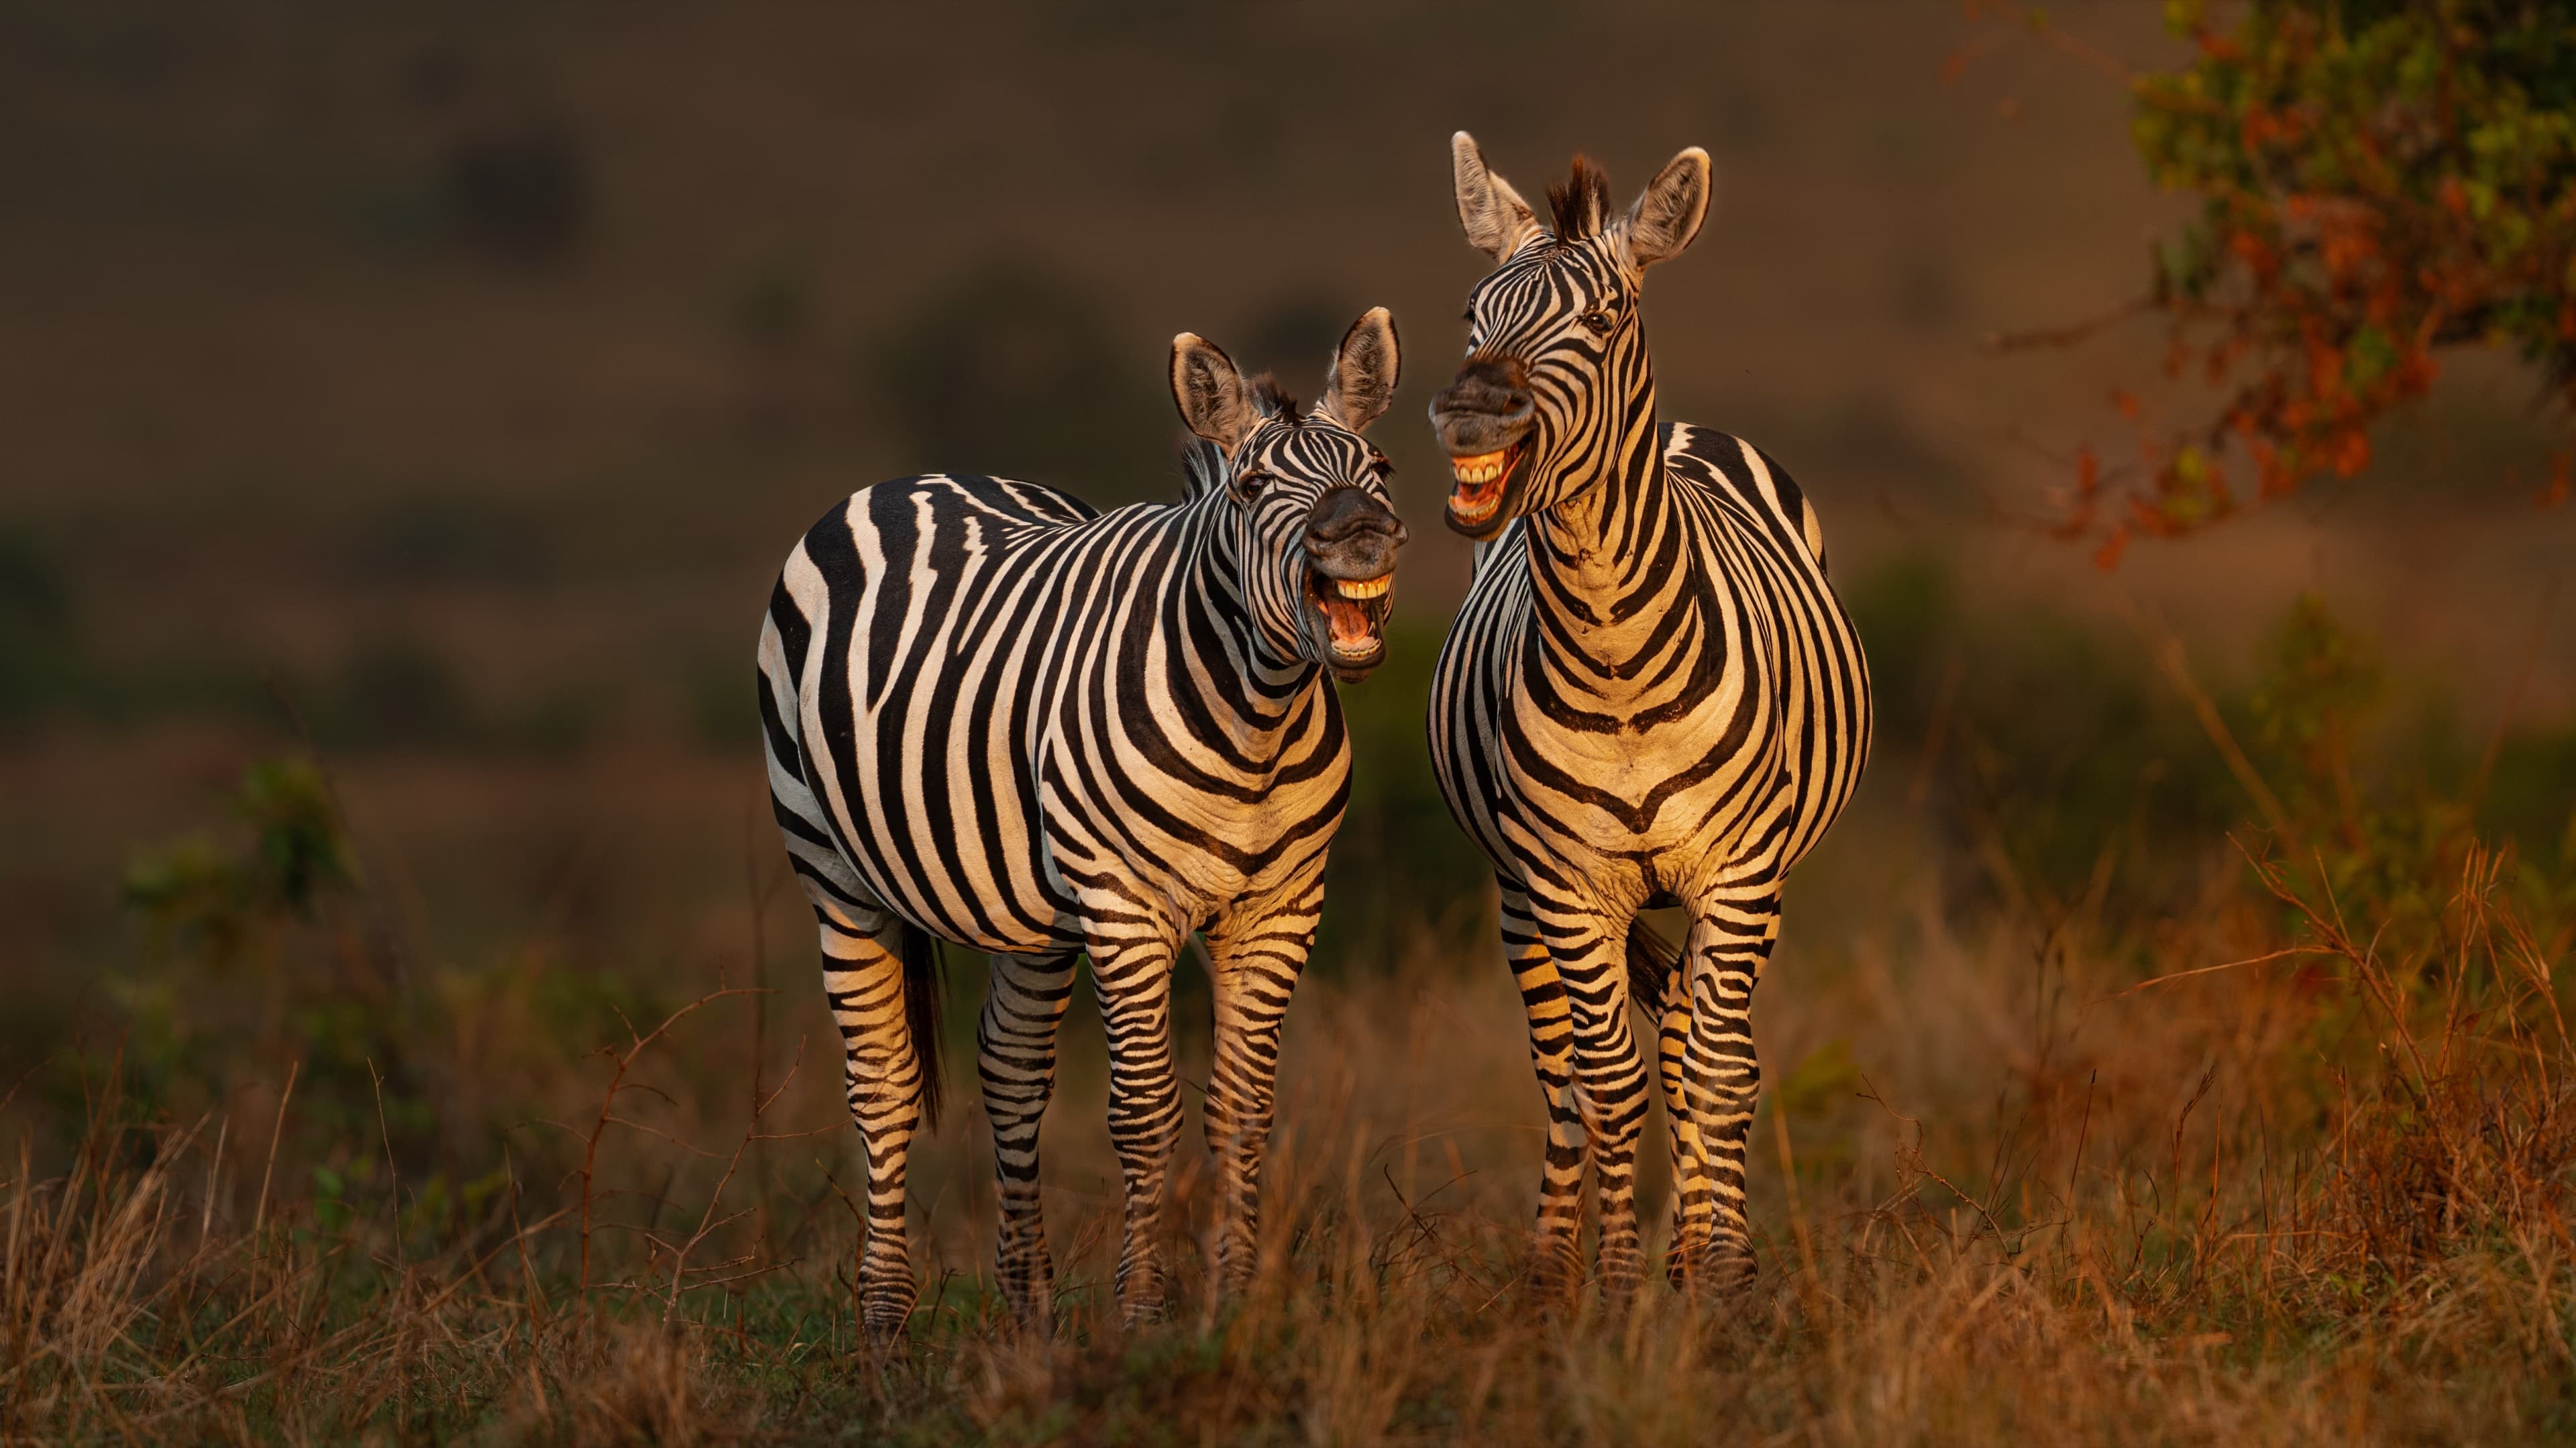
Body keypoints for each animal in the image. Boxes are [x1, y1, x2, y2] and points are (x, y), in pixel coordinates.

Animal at [758, 308, 1407, 1339]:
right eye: (1253, 486)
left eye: (1377, 464)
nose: (1361, 531)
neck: (1256, 718)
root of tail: (915, 479)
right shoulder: (1125, 905)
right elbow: (1144, 1112)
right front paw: (1143, 1312)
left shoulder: (1281, 906)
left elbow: (1242, 1107)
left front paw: (1235, 1303)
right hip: (835, 873)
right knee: (886, 1086)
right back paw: (885, 1326)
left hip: (1031, 914)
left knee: (1011, 1069)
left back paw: (1028, 1315)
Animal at [1425, 134, 1872, 1302]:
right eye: (1471, 312)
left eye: (1606, 314)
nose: (1472, 407)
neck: (1616, 657)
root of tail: (1681, 427)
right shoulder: (1570, 884)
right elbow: (1610, 1079)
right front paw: (1620, 1281)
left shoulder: (1741, 872)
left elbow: (1715, 1067)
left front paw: (1720, 1274)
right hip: (1518, 897)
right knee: (1567, 1075)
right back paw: (1555, 1266)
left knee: (1708, 1047)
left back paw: (1707, 1247)